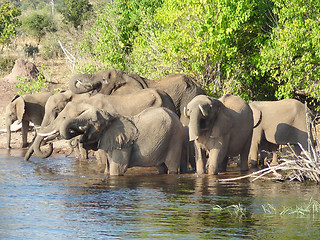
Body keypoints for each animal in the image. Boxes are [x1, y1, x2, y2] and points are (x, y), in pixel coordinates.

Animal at [45, 107, 185, 176]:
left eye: (94, 122)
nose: (78, 137)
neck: (112, 116)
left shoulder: (124, 145)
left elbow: (117, 170)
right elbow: (107, 170)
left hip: (175, 138)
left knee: (172, 167)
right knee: (161, 167)